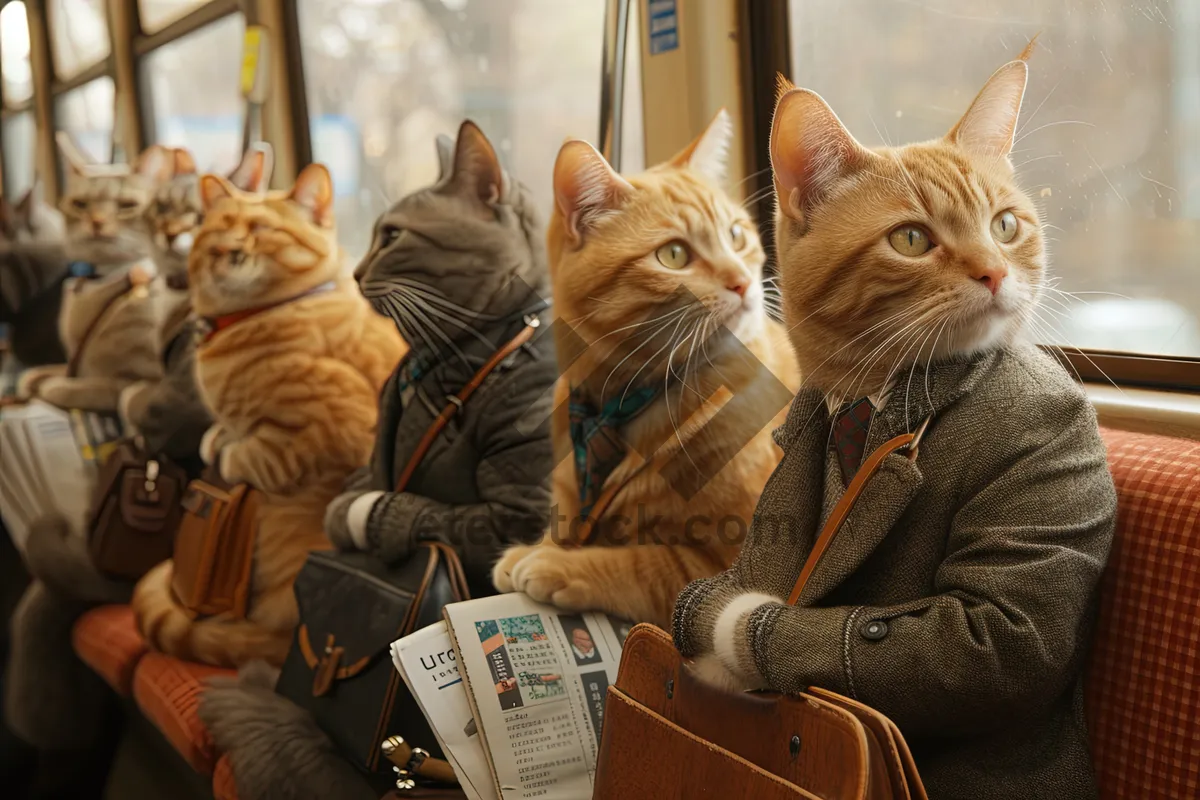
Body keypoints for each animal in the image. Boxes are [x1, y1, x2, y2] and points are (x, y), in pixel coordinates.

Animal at [130, 164, 403, 671]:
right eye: (219, 228)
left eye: (259, 229)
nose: (228, 249)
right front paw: (216, 437)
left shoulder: (334, 424)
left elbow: (260, 454)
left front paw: (228, 450)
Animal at [492, 112, 801, 628]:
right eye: (674, 255)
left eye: (736, 236)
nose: (742, 282)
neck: (616, 404)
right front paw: (537, 547)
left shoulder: (725, 571)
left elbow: (642, 563)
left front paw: (556, 563)